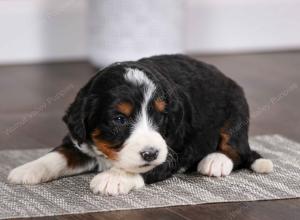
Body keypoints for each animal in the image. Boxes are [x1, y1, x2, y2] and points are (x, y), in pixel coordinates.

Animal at [8, 54, 274, 195]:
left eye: (160, 117)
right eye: (119, 119)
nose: (150, 152)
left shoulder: (172, 151)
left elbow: (145, 168)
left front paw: (113, 178)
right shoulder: (79, 140)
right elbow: (58, 155)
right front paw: (27, 170)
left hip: (236, 112)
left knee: (238, 151)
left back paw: (215, 161)